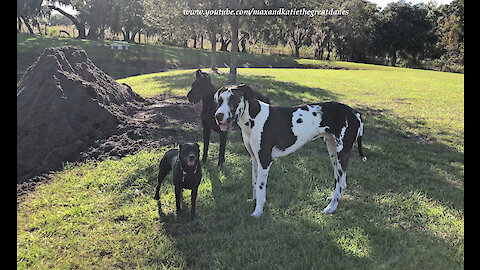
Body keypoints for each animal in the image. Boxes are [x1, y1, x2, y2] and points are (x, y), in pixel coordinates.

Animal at [214, 84, 368, 217]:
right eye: (220, 100)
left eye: (233, 100)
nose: (218, 116)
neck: (254, 118)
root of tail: (355, 113)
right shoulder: (254, 160)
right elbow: (254, 182)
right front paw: (253, 201)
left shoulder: (265, 161)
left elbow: (260, 187)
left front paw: (257, 212)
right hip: (333, 151)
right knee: (341, 181)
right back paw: (332, 198)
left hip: (341, 154)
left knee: (341, 182)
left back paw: (331, 207)